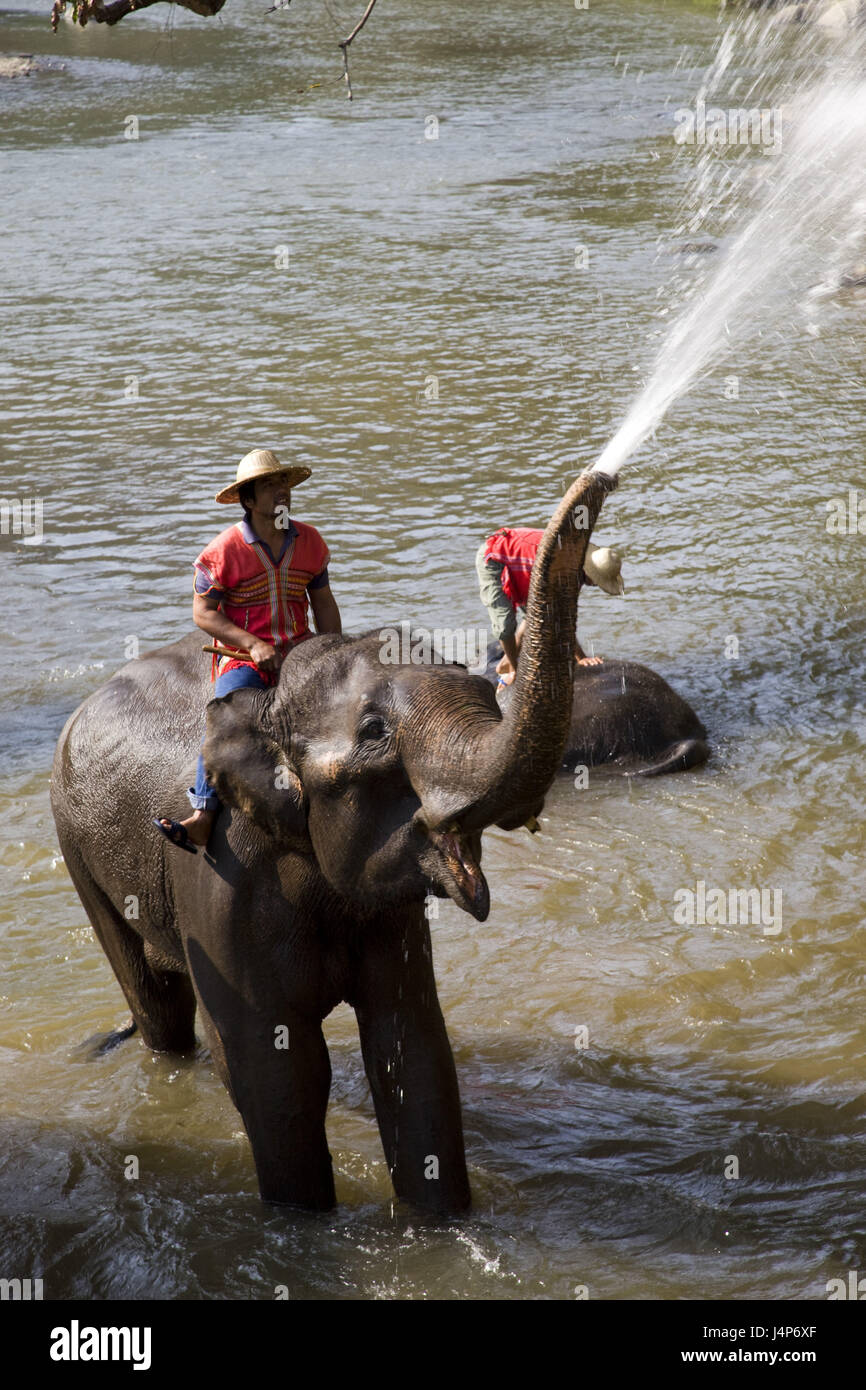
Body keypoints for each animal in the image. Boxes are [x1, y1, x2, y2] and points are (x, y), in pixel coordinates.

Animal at [52, 469, 618, 1214]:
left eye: (477, 683)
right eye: (375, 731)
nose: (603, 476)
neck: (275, 702)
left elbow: (412, 1045)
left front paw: (441, 1224)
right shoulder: (222, 882)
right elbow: (275, 1070)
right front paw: (303, 1222)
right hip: (76, 845)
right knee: (158, 1008)